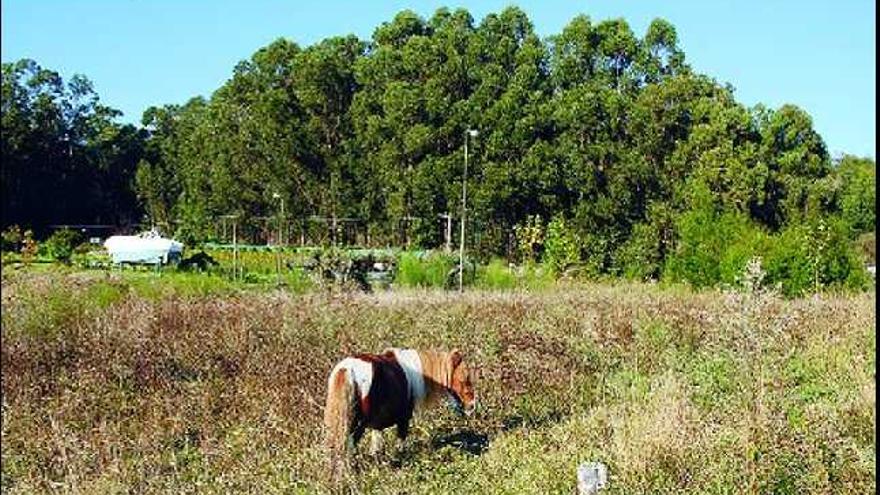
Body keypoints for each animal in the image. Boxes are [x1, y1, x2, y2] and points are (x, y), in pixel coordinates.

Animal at [324, 346, 474, 474]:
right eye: (464, 379)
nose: (472, 405)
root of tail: (349, 370)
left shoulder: (377, 426)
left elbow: (376, 447)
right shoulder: (403, 420)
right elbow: (400, 444)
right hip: (358, 425)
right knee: (349, 446)